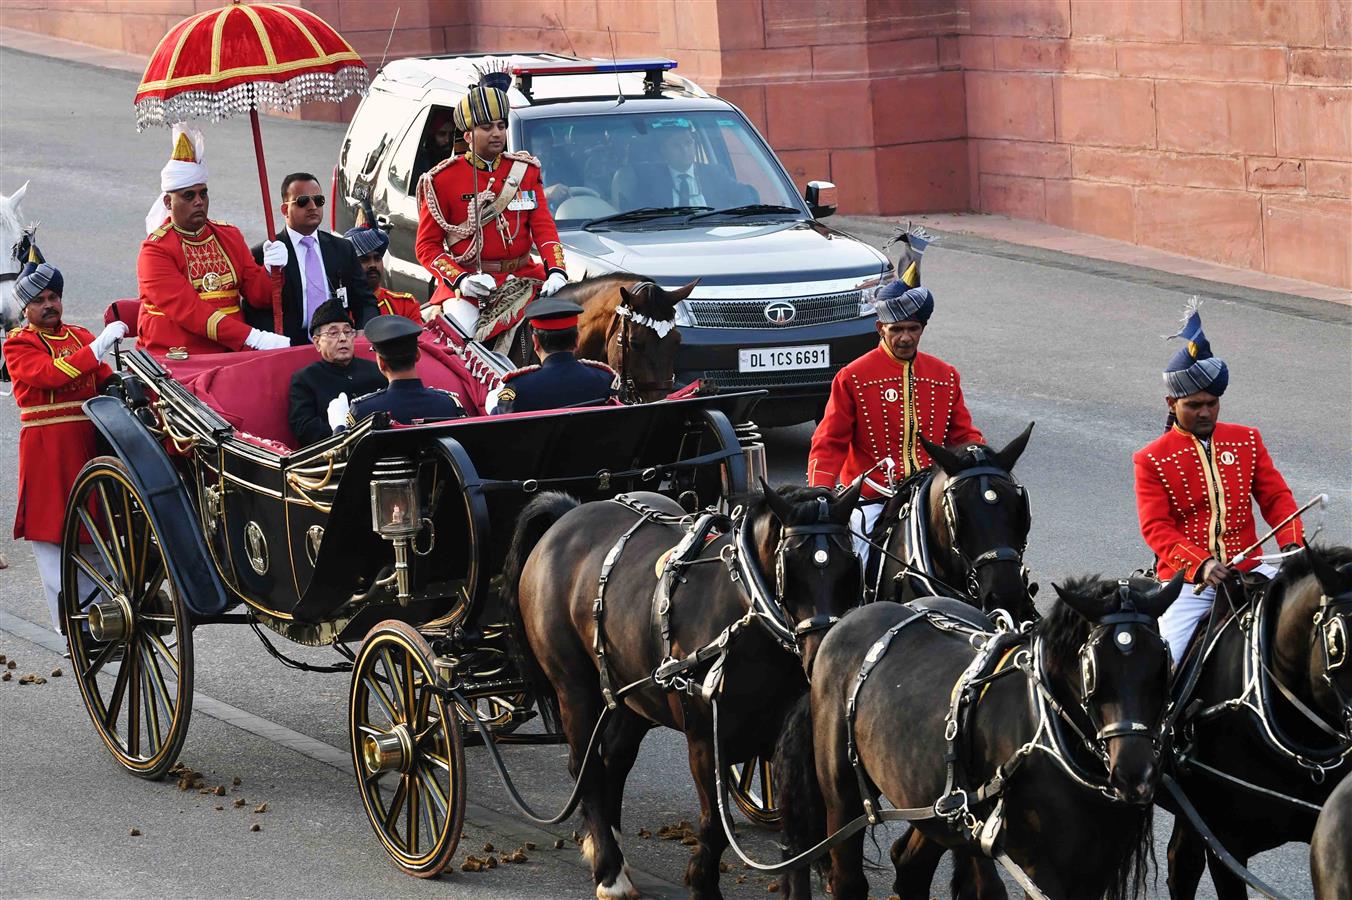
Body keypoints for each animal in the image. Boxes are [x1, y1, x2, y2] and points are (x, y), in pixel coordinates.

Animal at [508, 481, 865, 891]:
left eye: (850, 568)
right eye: (791, 568)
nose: (824, 653)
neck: (746, 612)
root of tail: (567, 516)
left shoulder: (787, 737)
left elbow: (801, 826)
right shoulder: (705, 738)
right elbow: (715, 824)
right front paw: (701, 879)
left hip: (636, 691)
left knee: (614, 757)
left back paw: (605, 843)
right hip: (574, 688)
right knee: (588, 769)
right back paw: (610, 871)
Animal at [773, 570, 1184, 891]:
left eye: (1162, 665)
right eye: (1094, 671)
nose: (1135, 775)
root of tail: (848, 618)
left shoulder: (1092, 871)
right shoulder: (1041, 870)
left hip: (933, 804)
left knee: (910, 866)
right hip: (843, 795)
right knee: (847, 874)